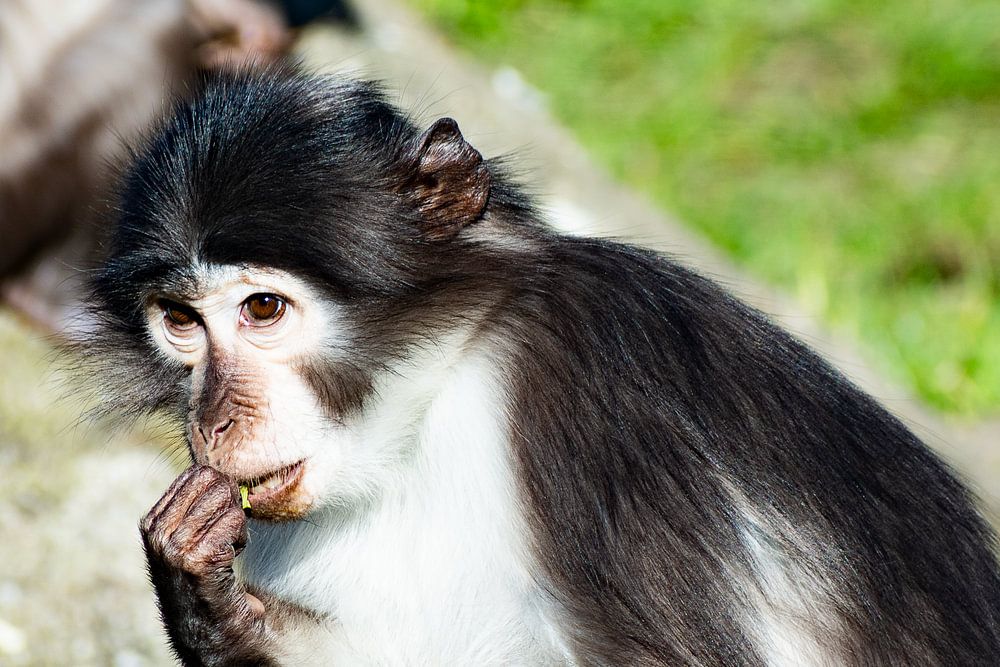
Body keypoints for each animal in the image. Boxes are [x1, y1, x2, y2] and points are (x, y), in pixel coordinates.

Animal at [81, 67, 1000, 665]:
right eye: (181, 321)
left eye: (263, 310)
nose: (211, 419)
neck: (445, 381)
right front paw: (206, 591)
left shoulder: (591, 390)